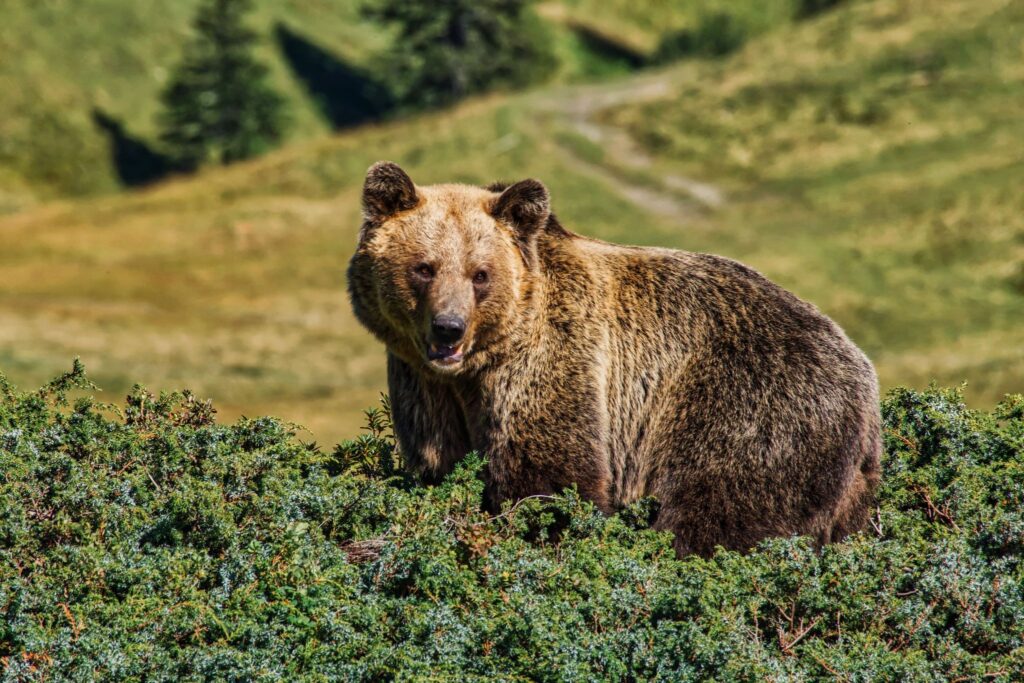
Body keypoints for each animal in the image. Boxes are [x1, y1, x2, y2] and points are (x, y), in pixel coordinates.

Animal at [347, 161, 881, 557]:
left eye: (480, 274)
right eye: (424, 267)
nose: (448, 327)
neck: (478, 367)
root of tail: (863, 375)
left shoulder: (553, 360)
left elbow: (550, 475)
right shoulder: (424, 386)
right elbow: (438, 461)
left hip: (749, 405)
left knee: (714, 514)